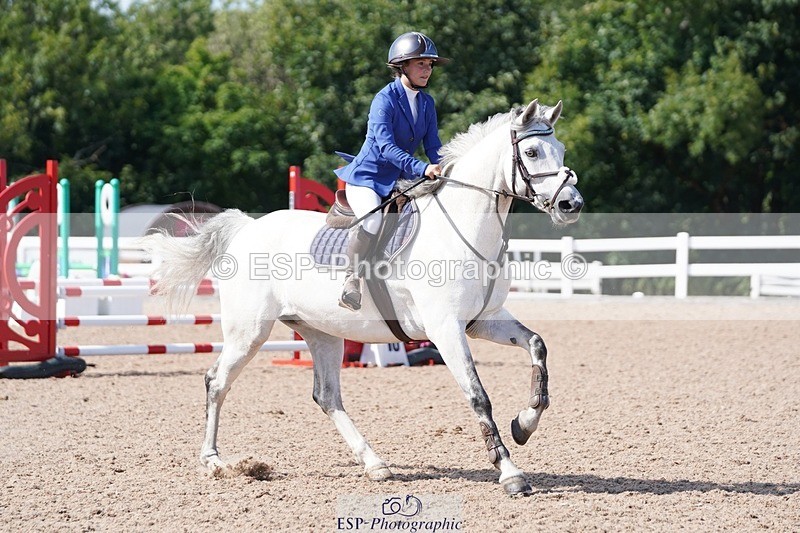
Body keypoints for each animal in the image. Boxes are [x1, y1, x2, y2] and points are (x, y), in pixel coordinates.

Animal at [145, 98, 583, 496]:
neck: (464, 229)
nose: (571, 204)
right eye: (531, 152)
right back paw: (213, 460)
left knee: (326, 396)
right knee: (217, 381)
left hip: (322, 333)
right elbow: (478, 396)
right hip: (248, 332)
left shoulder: (484, 321)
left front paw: (524, 423)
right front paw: (510, 472)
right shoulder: (446, 329)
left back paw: (375, 464)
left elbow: (537, 346)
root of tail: (245, 228)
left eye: (561, 150)